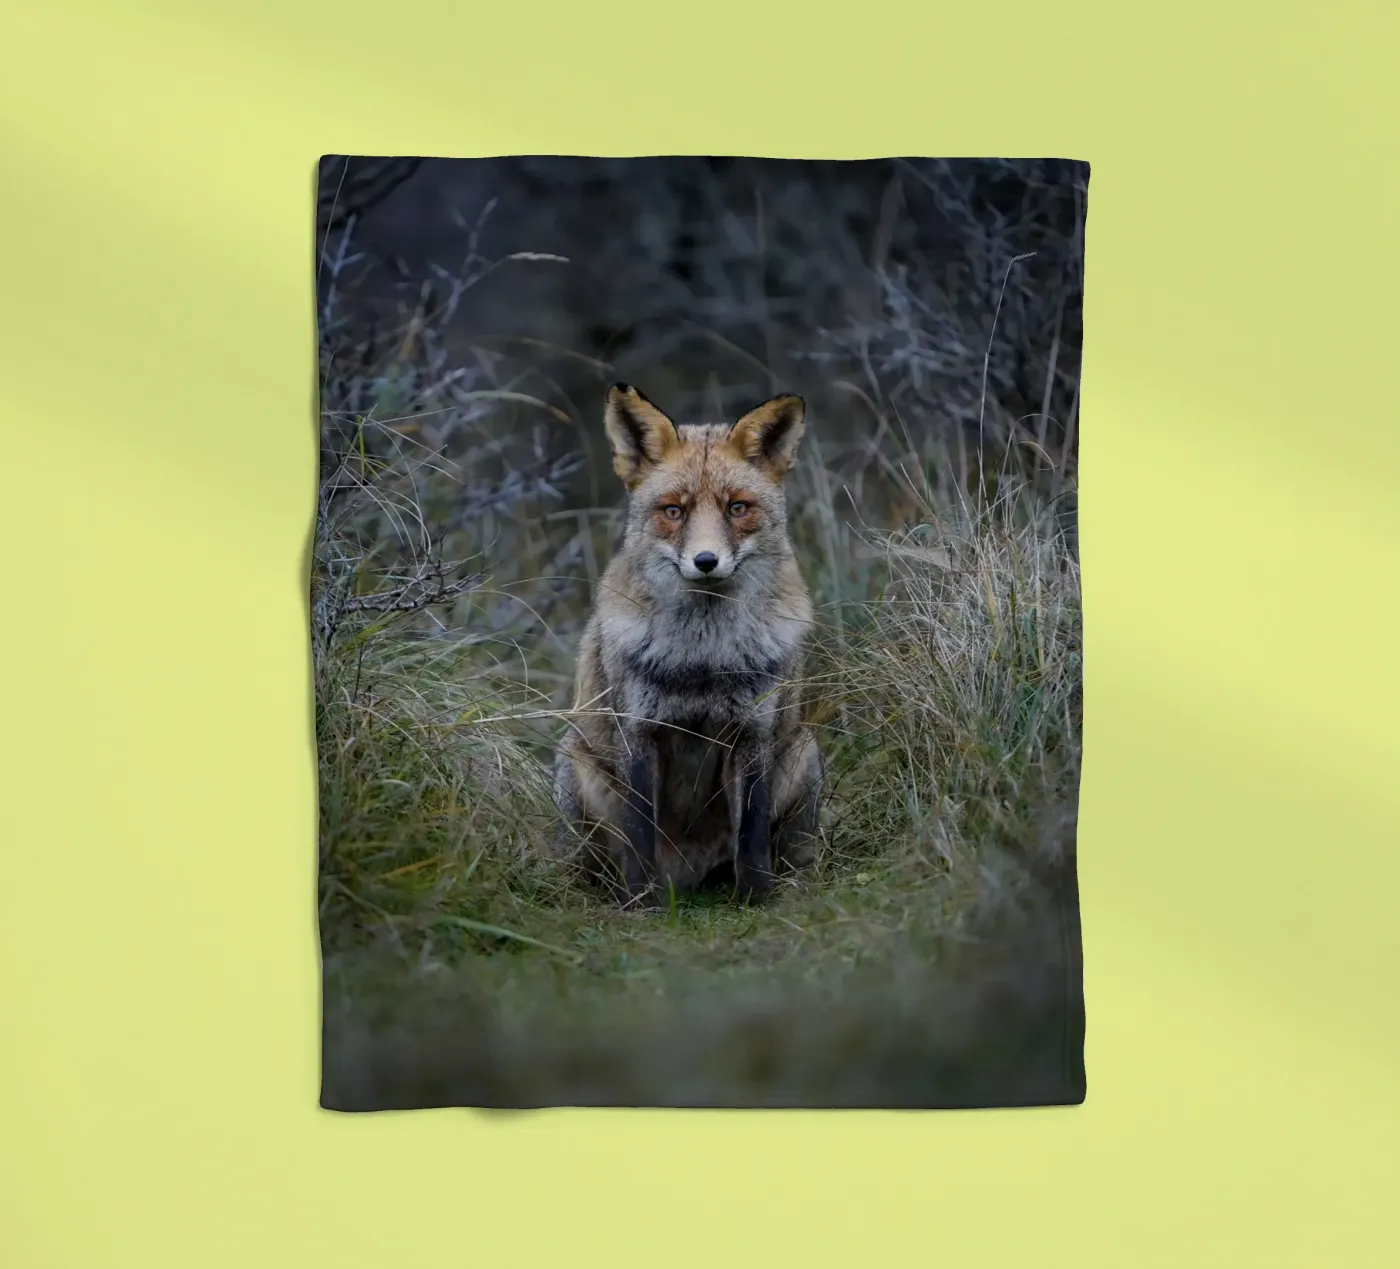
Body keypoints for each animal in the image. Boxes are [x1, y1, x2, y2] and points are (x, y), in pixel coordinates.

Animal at [552, 383, 822, 906]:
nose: (705, 561)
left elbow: (752, 835)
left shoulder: (752, 731)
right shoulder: (638, 731)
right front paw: (642, 905)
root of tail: (690, 878)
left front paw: (756, 899)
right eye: (674, 511)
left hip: (805, 749)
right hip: (574, 766)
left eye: (737, 508)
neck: (703, 658)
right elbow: (639, 834)